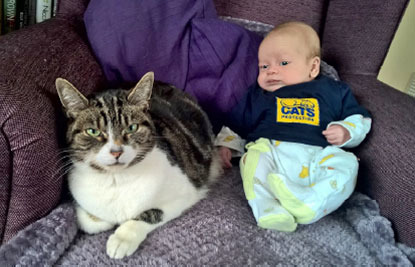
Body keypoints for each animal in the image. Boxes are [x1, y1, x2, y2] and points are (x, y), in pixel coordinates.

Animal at [57, 71, 224, 260]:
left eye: (132, 128)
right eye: (93, 131)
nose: (116, 152)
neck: (117, 180)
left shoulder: (186, 193)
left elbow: (150, 213)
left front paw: (122, 239)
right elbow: (89, 221)